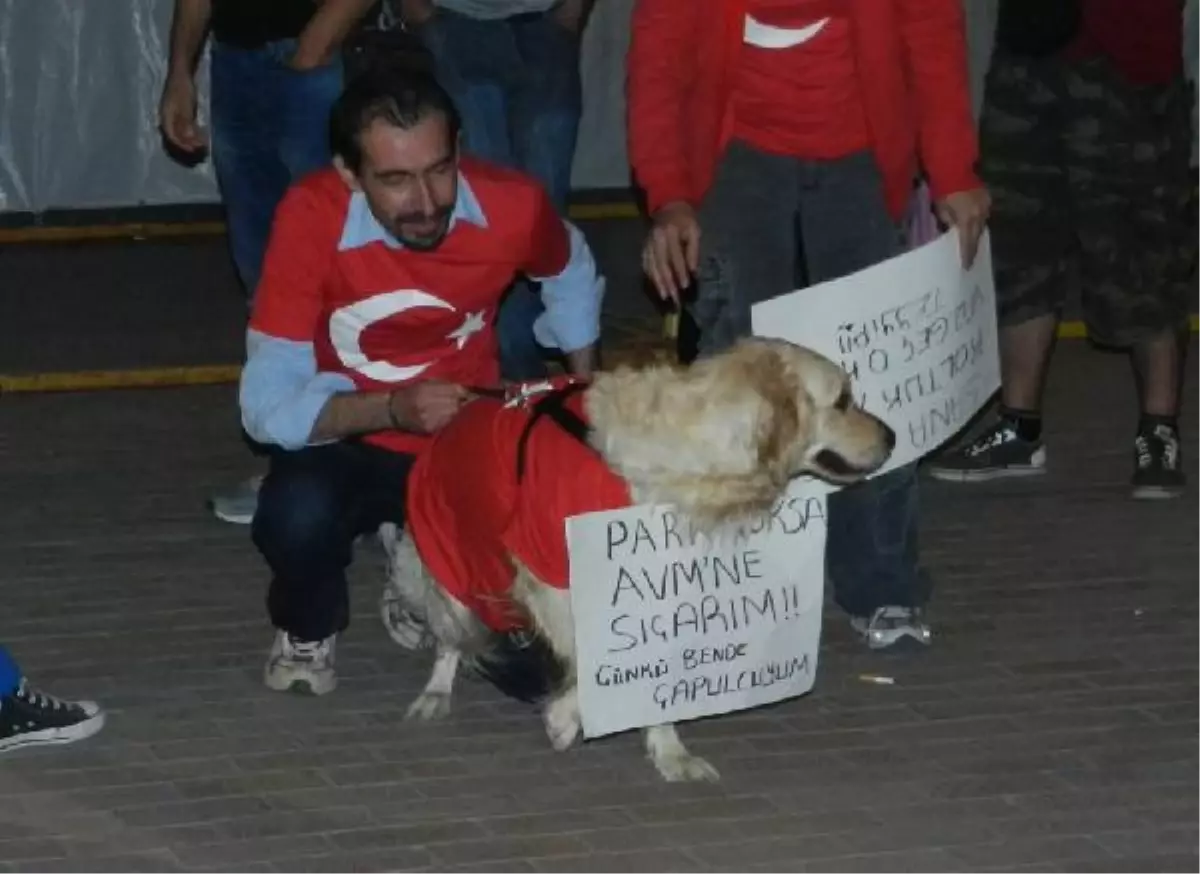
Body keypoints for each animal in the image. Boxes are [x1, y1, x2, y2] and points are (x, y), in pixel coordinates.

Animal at [379, 338, 897, 782]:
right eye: (843, 400)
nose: (892, 437)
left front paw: (669, 752)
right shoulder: (550, 574)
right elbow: (585, 657)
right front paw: (565, 718)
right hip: (451, 566)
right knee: (450, 638)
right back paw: (435, 693)